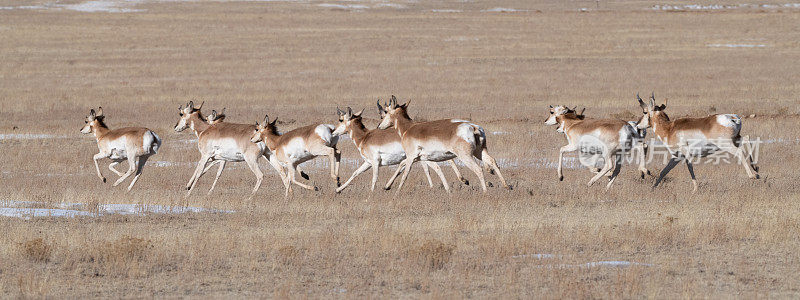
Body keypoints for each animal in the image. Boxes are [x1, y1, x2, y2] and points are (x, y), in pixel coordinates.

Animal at [332, 106, 468, 193]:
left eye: (340, 119)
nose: (333, 131)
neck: (365, 137)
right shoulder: (368, 163)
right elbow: (355, 173)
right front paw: (338, 189)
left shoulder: (375, 163)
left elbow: (374, 177)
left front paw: (371, 193)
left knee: (439, 166)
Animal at [378, 97, 510, 193]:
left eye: (385, 112)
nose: (379, 126)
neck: (408, 128)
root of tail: (473, 127)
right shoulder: (418, 158)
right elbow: (401, 165)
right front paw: (387, 186)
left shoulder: (411, 157)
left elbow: (405, 173)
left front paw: (397, 192)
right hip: (480, 152)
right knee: (492, 161)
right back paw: (507, 186)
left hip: (466, 156)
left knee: (478, 169)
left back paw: (485, 191)